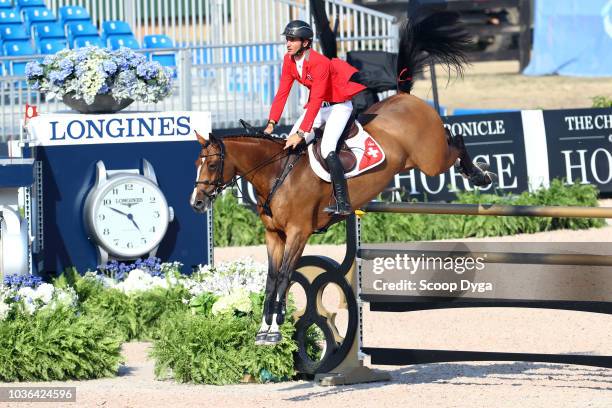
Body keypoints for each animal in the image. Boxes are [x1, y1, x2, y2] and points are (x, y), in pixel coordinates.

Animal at [190, 10, 498, 344]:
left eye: (211, 164)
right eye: (196, 163)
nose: (196, 203)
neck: (276, 175)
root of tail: (404, 96)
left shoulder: (298, 232)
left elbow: (284, 275)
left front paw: (275, 328)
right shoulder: (274, 235)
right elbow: (271, 279)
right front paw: (265, 329)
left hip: (431, 160)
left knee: (456, 139)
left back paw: (480, 175)